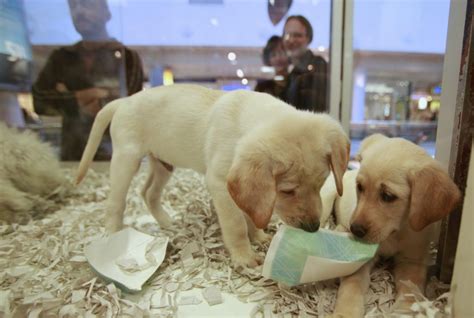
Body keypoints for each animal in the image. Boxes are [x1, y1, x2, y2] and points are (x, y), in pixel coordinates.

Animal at [74, 83, 348, 268]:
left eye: (321, 184)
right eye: (287, 191)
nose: (313, 228)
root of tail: (124, 100)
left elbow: (251, 212)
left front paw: (259, 237)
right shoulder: (220, 184)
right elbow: (236, 223)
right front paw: (244, 256)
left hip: (163, 164)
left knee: (148, 192)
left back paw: (168, 223)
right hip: (126, 159)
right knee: (116, 202)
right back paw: (113, 234)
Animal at [324, 135, 462, 318]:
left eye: (388, 196)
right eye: (360, 187)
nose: (355, 230)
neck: (395, 233)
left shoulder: (412, 260)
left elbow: (411, 289)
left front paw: (404, 310)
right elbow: (352, 285)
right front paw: (345, 312)